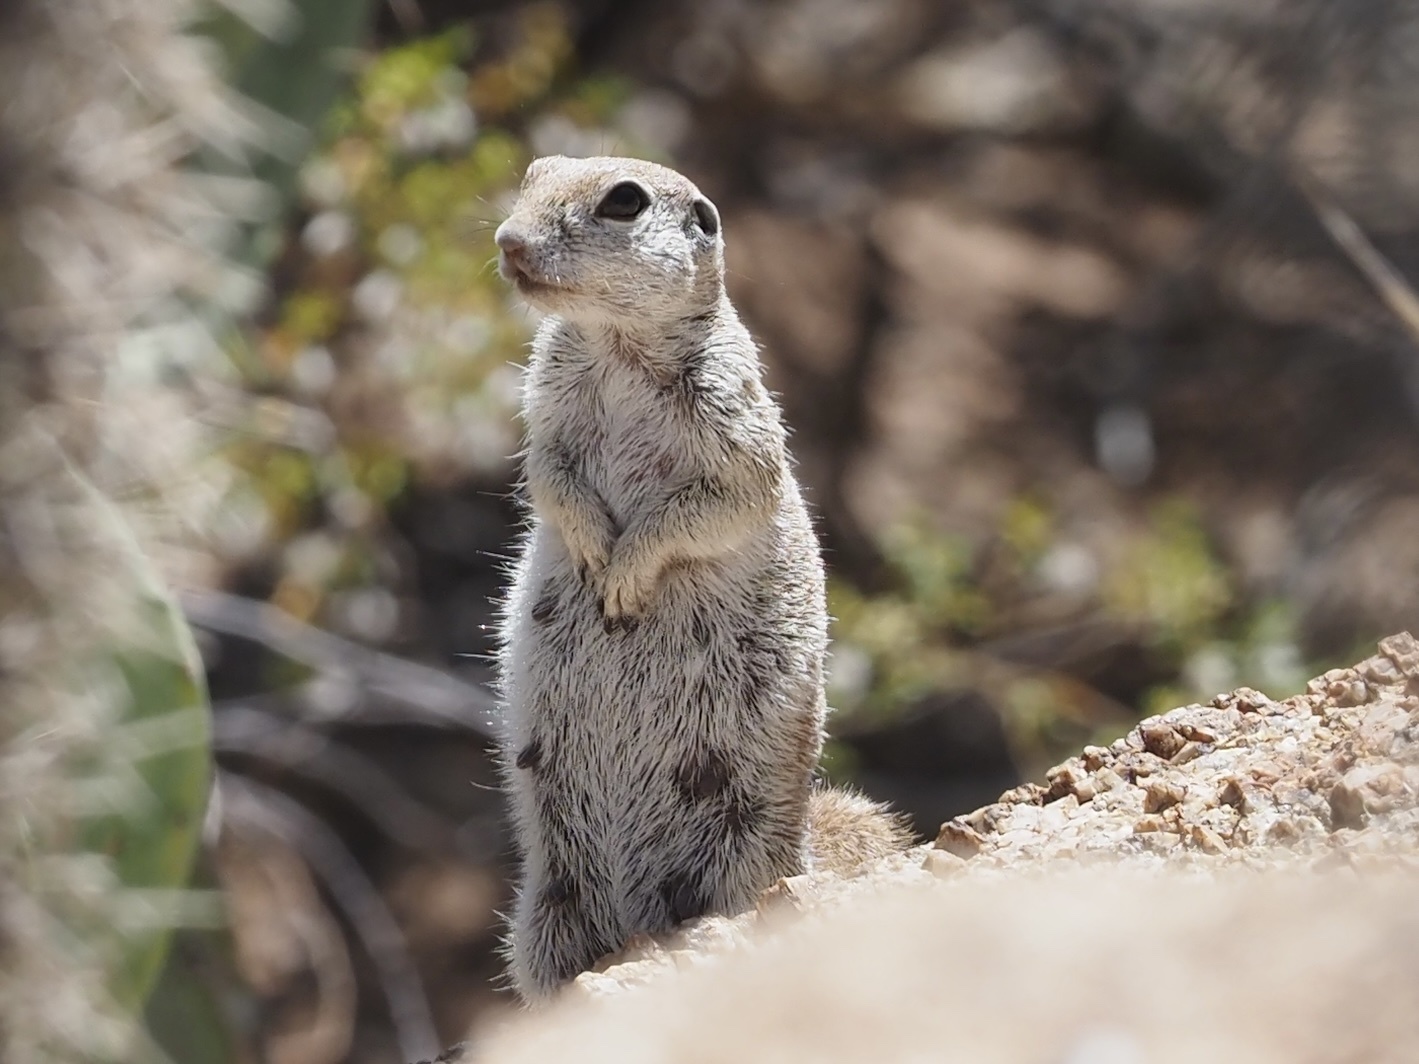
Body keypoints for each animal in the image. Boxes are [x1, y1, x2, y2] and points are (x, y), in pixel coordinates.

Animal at [493, 155, 911, 1003]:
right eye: (533, 174)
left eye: (624, 202)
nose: (508, 241)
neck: (613, 343)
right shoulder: (545, 410)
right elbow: (551, 479)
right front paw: (592, 550)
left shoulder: (731, 413)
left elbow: (720, 501)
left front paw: (624, 574)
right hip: (545, 914)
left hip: (744, 849)